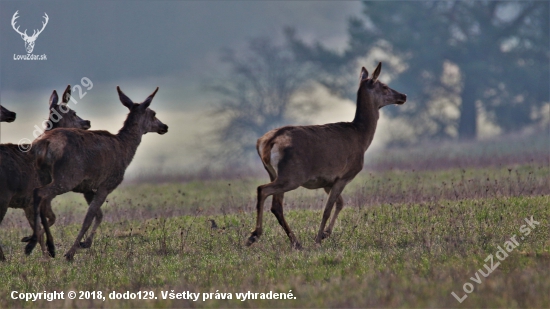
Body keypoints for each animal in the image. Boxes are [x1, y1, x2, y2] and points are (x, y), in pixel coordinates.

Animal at [0, 86, 90, 260]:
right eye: (73, 112)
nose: (87, 122)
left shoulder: (27, 203)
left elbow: (41, 224)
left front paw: (41, 252)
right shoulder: (39, 198)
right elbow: (50, 220)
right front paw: (45, 250)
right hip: (4, 196)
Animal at [26, 85, 168, 258]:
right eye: (153, 113)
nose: (164, 126)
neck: (125, 150)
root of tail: (42, 144)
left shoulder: (86, 187)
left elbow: (99, 214)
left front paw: (85, 243)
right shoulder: (107, 184)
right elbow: (89, 217)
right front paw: (71, 252)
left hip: (44, 175)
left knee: (39, 198)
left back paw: (36, 242)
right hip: (66, 177)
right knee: (40, 194)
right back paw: (44, 246)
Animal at [248, 62, 408, 248]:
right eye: (384, 86)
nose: (403, 96)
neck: (361, 138)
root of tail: (265, 142)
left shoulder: (327, 181)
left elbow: (340, 203)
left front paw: (326, 233)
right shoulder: (345, 175)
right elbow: (327, 209)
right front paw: (318, 239)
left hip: (274, 172)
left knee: (276, 205)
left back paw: (295, 242)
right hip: (293, 175)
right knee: (263, 189)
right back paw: (254, 235)